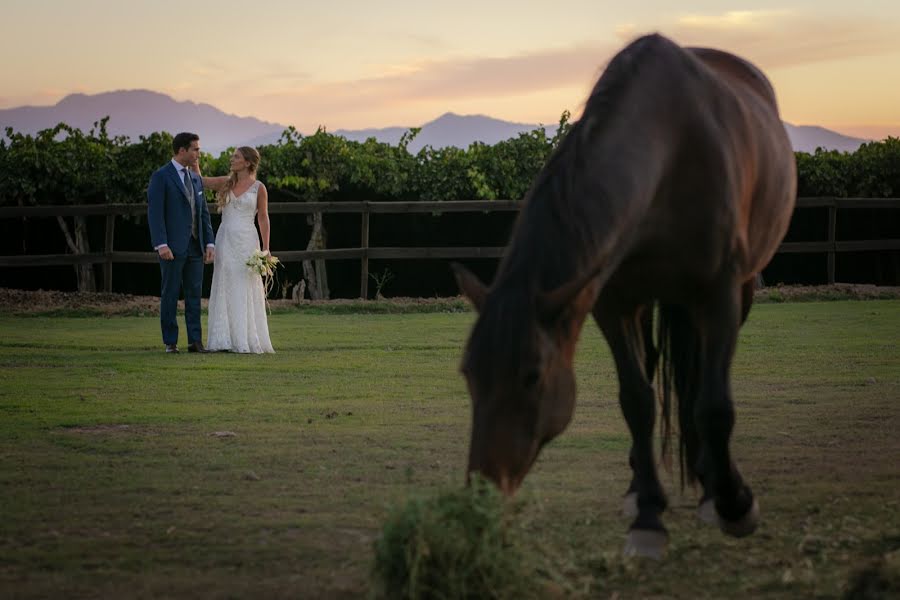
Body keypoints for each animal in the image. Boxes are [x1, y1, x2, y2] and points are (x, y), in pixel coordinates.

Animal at [454, 34, 800, 556]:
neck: (671, 148)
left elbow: (714, 404)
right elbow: (636, 401)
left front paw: (735, 503)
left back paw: (711, 488)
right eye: (469, 373)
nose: (484, 489)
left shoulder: (720, 294)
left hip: (730, 296)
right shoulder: (610, 303)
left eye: (532, 376)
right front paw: (648, 517)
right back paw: (645, 488)